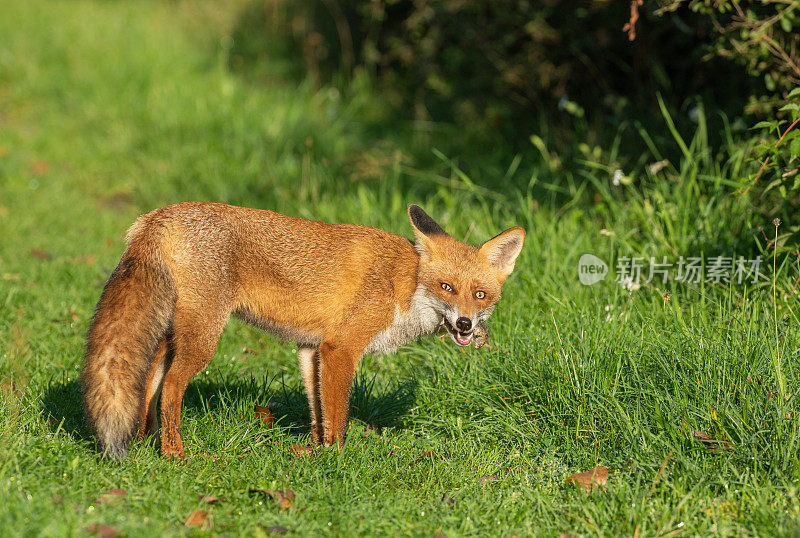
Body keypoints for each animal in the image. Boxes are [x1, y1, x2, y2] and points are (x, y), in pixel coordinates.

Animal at [81, 201, 524, 456]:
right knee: (171, 388)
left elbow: (318, 412)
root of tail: (159, 215)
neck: (405, 281)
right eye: (446, 287)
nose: (465, 324)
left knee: (148, 379)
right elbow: (339, 415)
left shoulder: (312, 349)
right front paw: (337, 461)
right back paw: (173, 452)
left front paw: (313, 452)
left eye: (481, 295)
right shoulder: (341, 348)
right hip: (203, 338)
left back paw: (144, 441)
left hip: (174, 333)